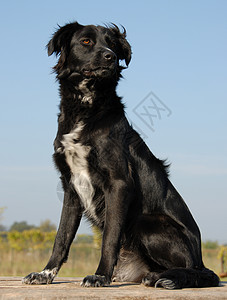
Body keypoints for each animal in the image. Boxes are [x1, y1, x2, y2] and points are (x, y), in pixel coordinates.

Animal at [22, 21, 218, 288]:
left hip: (146, 223)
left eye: (112, 44)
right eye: (86, 41)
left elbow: (110, 237)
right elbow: (61, 237)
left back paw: (160, 277)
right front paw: (45, 273)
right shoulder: (70, 187)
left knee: (190, 270)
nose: (110, 57)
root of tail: (200, 260)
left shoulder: (118, 183)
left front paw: (100, 276)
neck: (86, 109)